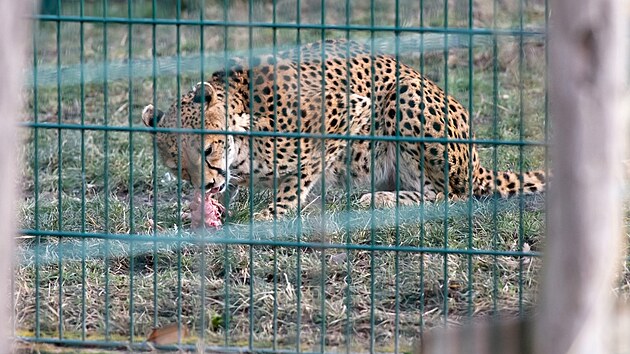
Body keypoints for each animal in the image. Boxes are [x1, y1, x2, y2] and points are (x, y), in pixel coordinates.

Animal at [141, 39, 544, 221]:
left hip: (404, 95)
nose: (206, 184)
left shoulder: (350, 109)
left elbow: (301, 174)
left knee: (450, 197)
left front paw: (270, 215)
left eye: (207, 150)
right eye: (179, 168)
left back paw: (379, 200)